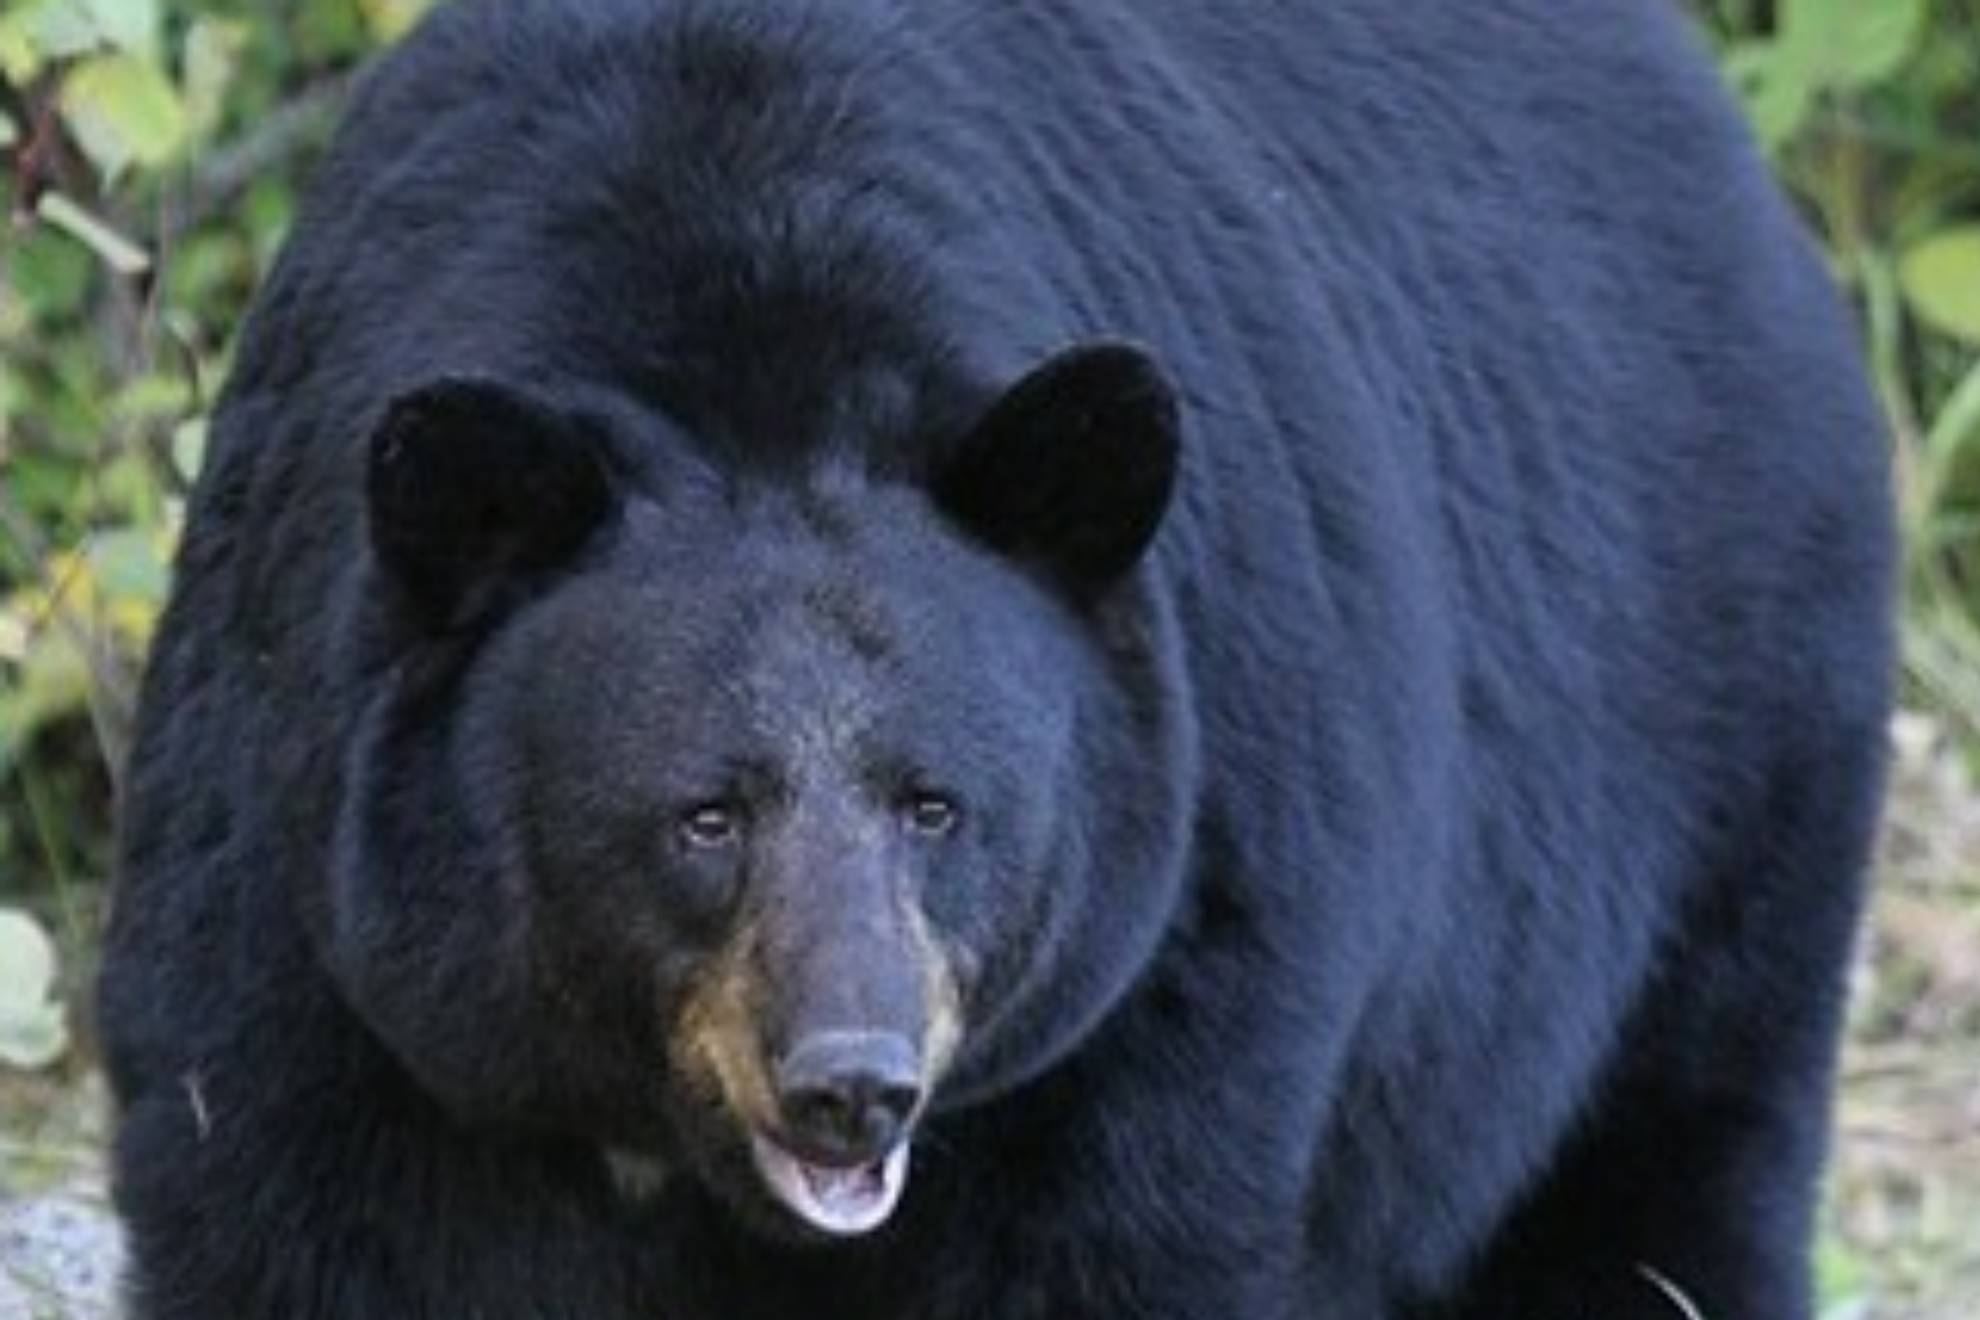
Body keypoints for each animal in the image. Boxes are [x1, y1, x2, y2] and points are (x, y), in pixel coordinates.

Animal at [96, 0, 1895, 1317]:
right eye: (704, 814)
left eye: (935, 805)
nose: (852, 1085)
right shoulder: (321, 946)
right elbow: (307, 1219)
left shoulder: (1177, 964)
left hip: (1718, 779)